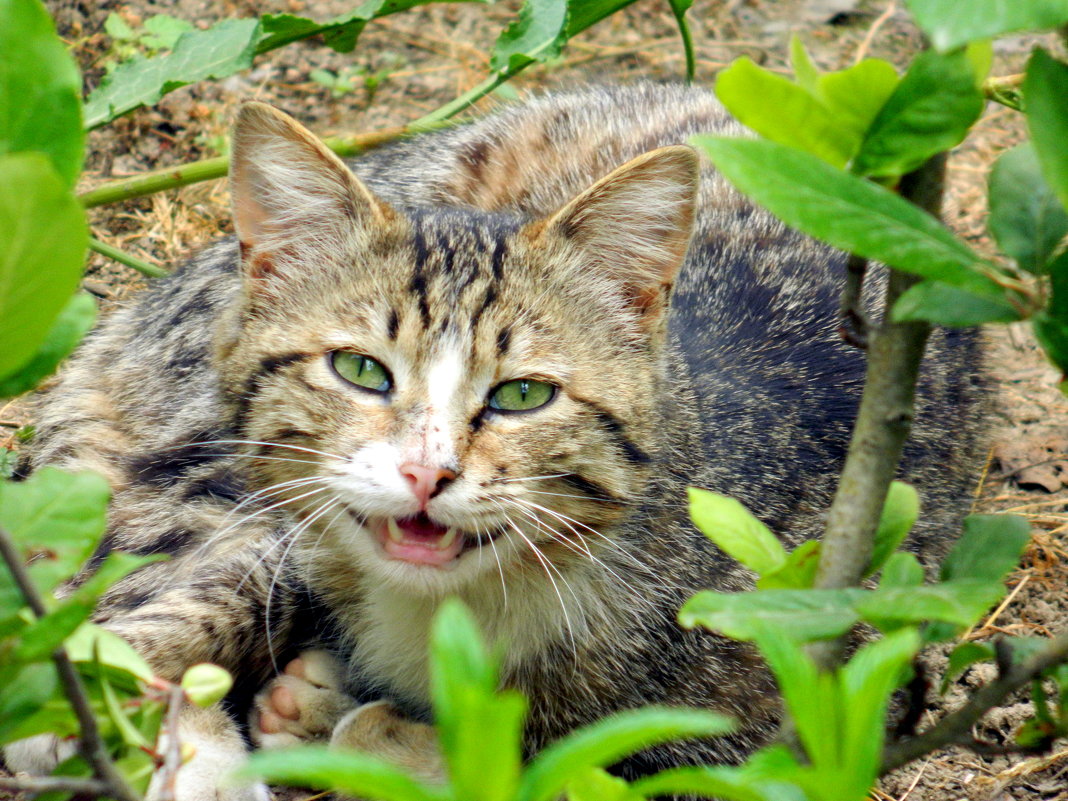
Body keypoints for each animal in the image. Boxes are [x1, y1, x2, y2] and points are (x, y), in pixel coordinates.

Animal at [6, 84, 982, 798]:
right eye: (361, 371)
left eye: (522, 396)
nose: (426, 471)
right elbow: (195, 600)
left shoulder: (820, 699)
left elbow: (583, 756)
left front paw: (362, 725)